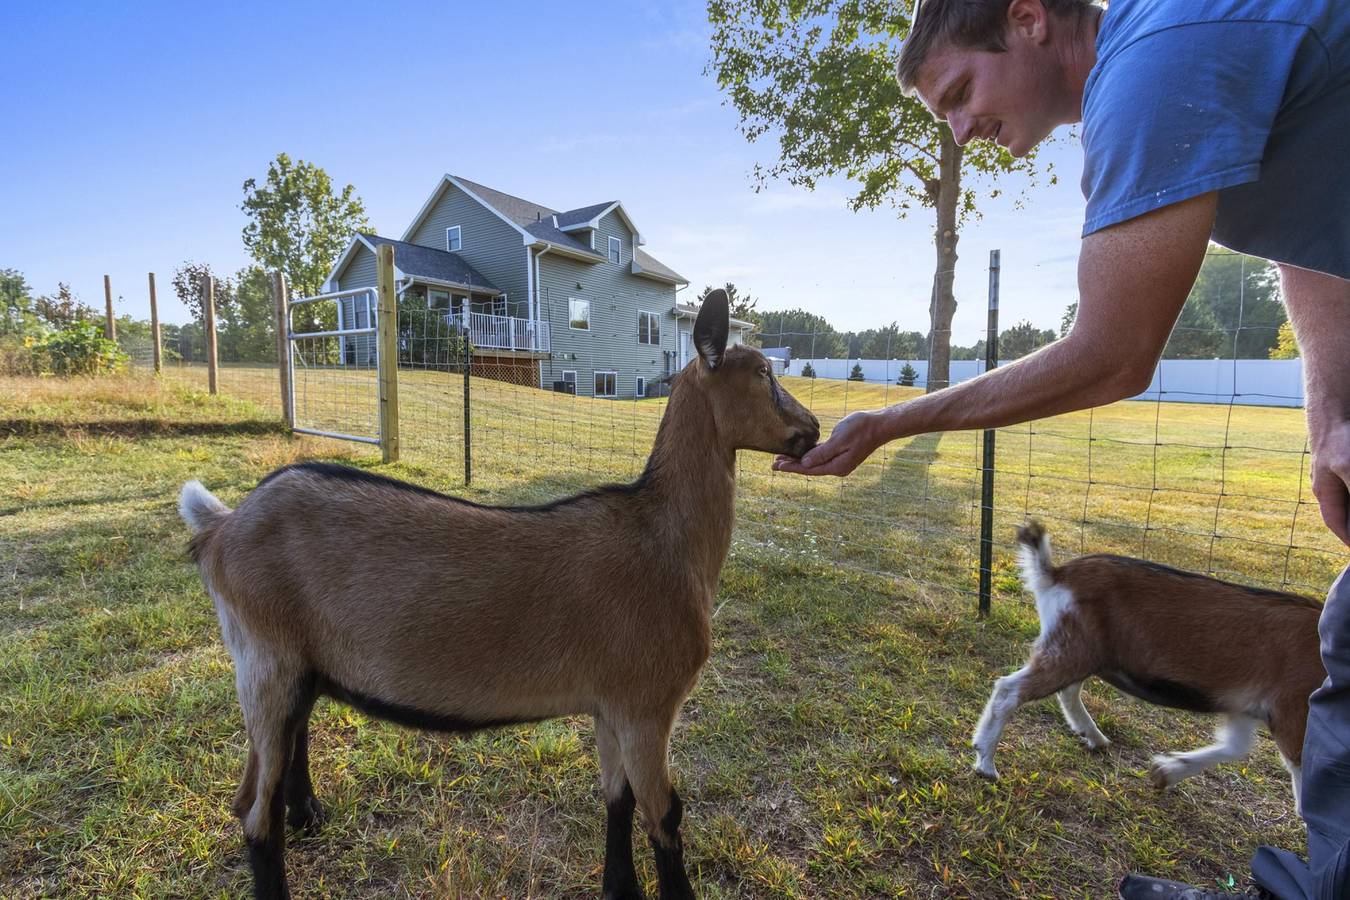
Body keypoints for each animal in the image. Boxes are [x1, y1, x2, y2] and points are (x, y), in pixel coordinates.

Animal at [178, 291, 819, 900]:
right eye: (764, 373)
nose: (813, 428)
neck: (664, 539)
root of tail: (222, 529)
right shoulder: (647, 705)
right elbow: (665, 817)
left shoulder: (611, 705)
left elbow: (617, 800)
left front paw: (618, 887)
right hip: (265, 658)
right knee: (252, 809)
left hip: (296, 663)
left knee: (287, 747)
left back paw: (309, 814)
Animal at [971, 521, 1324, 812]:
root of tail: (1055, 574)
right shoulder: (1295, 712)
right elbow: (1304, 781)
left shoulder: (1244, 706)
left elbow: (1235, 746)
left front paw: (1165, 771)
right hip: (1072, 649)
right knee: (1009, 689)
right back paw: (986, 763)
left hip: (1079, 650)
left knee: (1066, 692)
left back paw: (1094, 737)